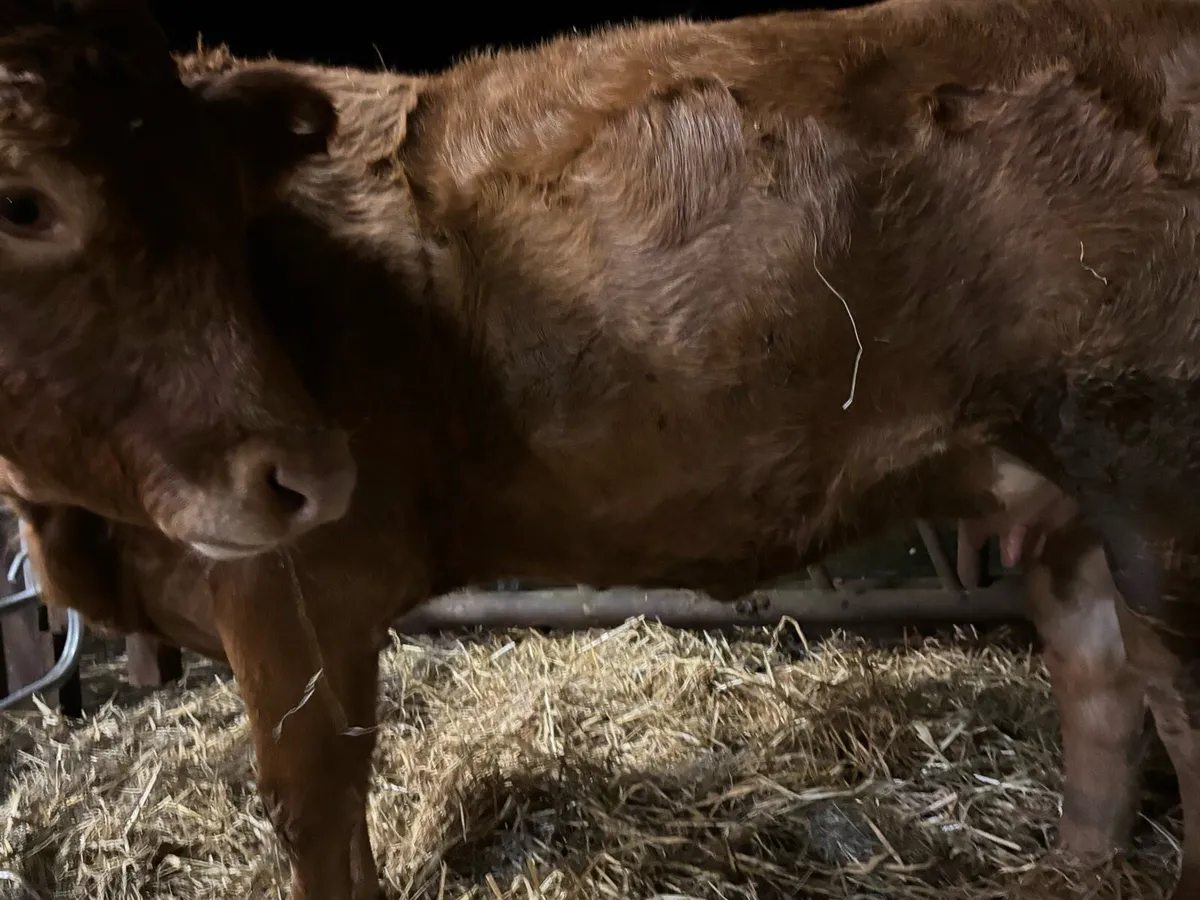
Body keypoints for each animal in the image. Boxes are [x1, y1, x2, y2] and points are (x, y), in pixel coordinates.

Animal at [10, 0, 1200, 896]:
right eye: (24, 203)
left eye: (223, 198)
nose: (308, 468)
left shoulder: (296, 593)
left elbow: (313, 811)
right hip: (1066, 484)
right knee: (1101, 679)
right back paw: (1071, 870)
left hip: (1149, 466)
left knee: (1171, 699)